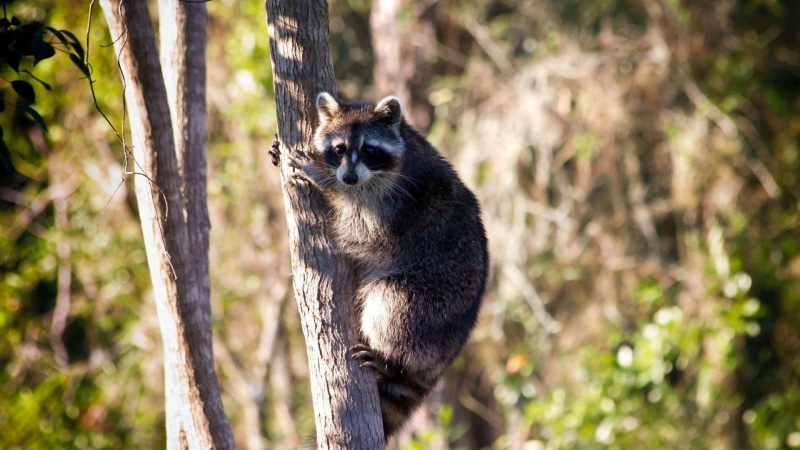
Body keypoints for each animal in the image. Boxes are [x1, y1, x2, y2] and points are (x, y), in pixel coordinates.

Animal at [271, 92, 489, 441]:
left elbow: (362, 230)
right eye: (339, 149)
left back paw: (391, 360)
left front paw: (326, 182)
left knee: (390, 304)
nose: (347, 178)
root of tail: (451, 348)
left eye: (370, 150)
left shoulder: (397, 202)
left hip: (432, 304)